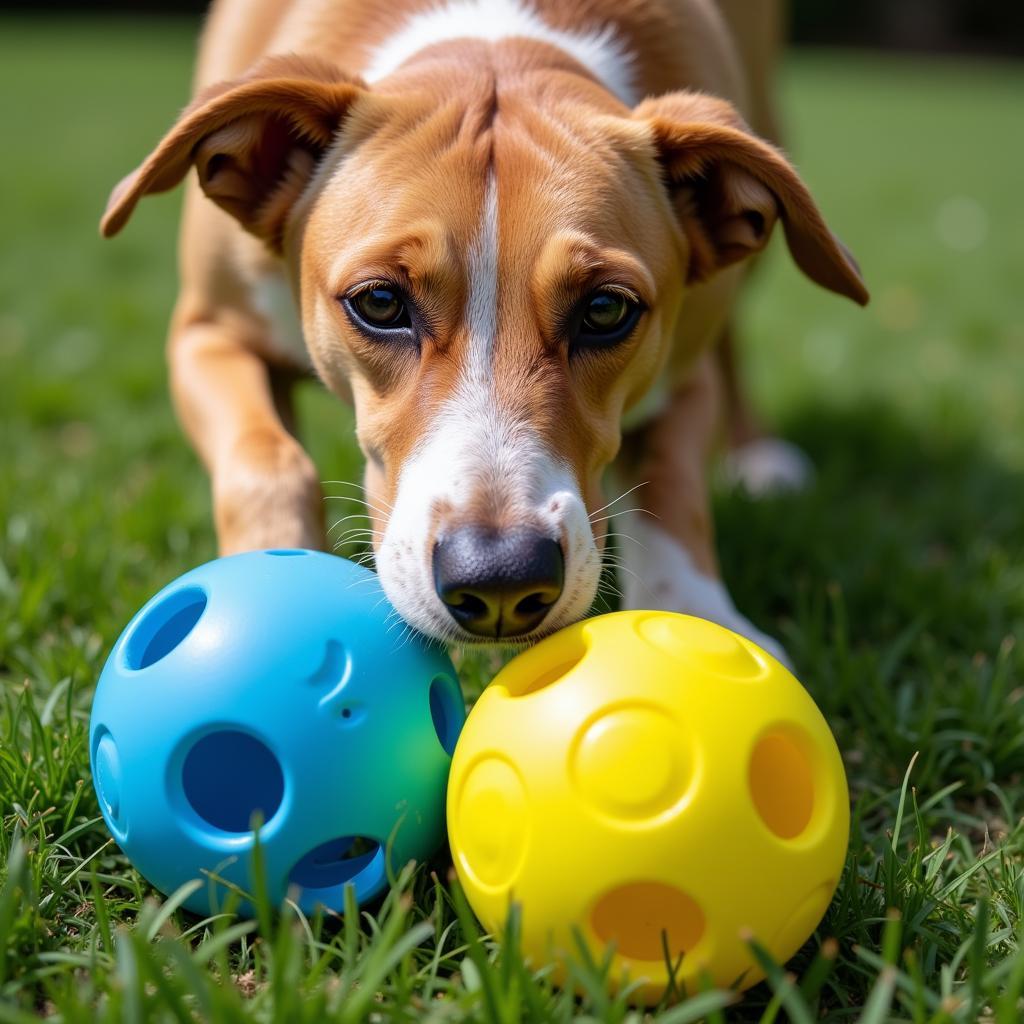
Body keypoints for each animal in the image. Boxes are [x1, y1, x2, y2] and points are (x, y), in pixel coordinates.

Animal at [101, 0, 864, 659]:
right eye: (381, 302)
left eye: (606, 310)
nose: (501, 578)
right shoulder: (207, 332)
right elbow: (265, 461)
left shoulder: (682, 368)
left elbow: (672, 486)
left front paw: (700, 618)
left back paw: (761, 456)